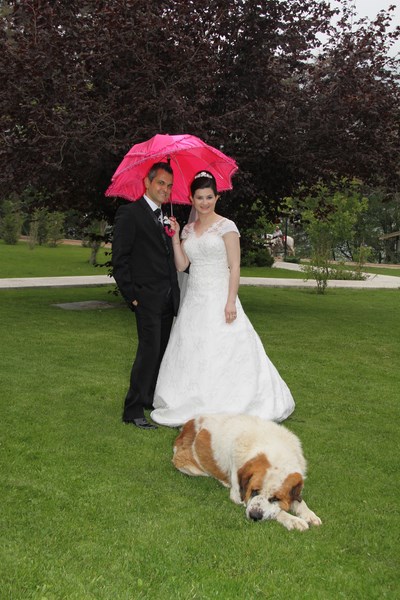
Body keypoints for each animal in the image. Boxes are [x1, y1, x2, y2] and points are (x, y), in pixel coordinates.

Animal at [172, 414, 322, 531]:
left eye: (275, 498)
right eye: (254, 491)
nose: (254, 515)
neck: (276, 451)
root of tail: (187, 425)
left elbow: (299, 501)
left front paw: (309, 514)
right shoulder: (239, 495)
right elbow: (278, 511)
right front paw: (294, 520)